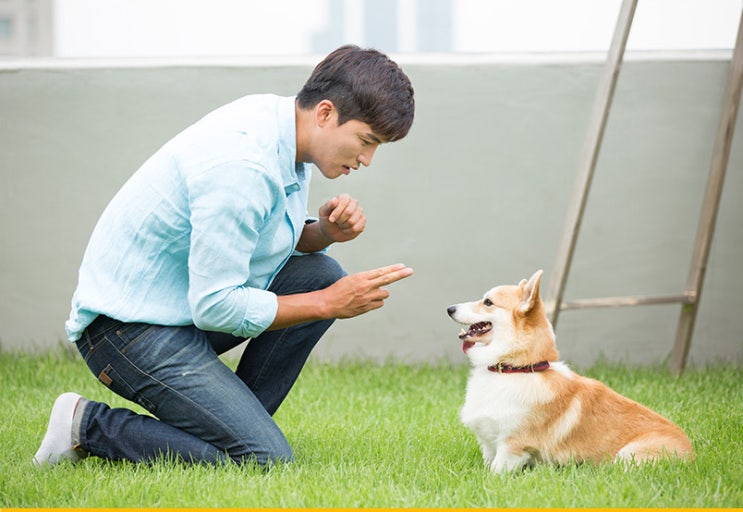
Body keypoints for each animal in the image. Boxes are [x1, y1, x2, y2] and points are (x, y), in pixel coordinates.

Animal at [448, 270, 696, 474]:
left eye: (488, 302)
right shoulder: (489, 445)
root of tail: (692, 455)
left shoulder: (511, 447)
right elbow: (487, 463)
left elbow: (494, 474)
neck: (515, 370)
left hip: (627, 455)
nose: (449, 308)